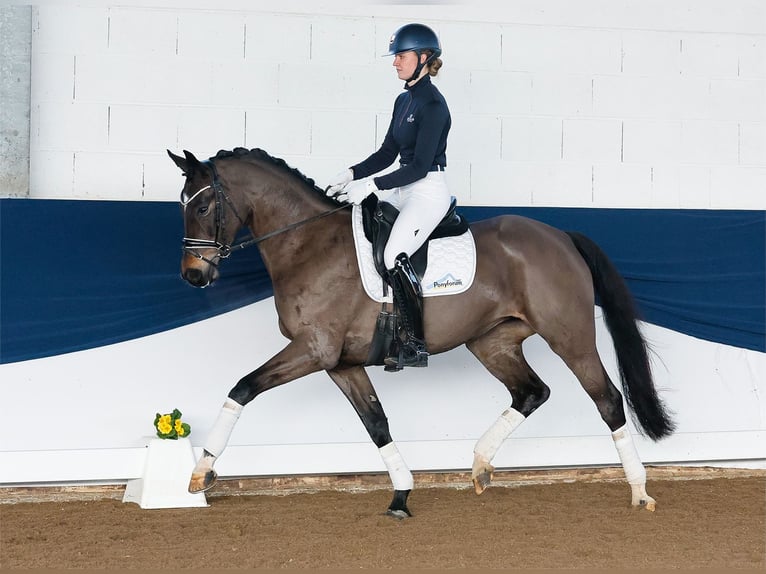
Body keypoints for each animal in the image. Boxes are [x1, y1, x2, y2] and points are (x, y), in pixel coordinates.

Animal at [170, 146, 680, 520]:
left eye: (206, 205)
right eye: (182, 206)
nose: (194, 276)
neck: (308, 245)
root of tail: (560, 236)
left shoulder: (313, 350)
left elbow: (242, 387)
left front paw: (201, 472)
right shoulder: (341, 363)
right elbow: (376, 423)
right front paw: (401, 495)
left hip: (569, 338)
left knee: (607, 399)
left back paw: (639, 492)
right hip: (491, 342)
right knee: (532, 392)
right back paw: (480, 466)